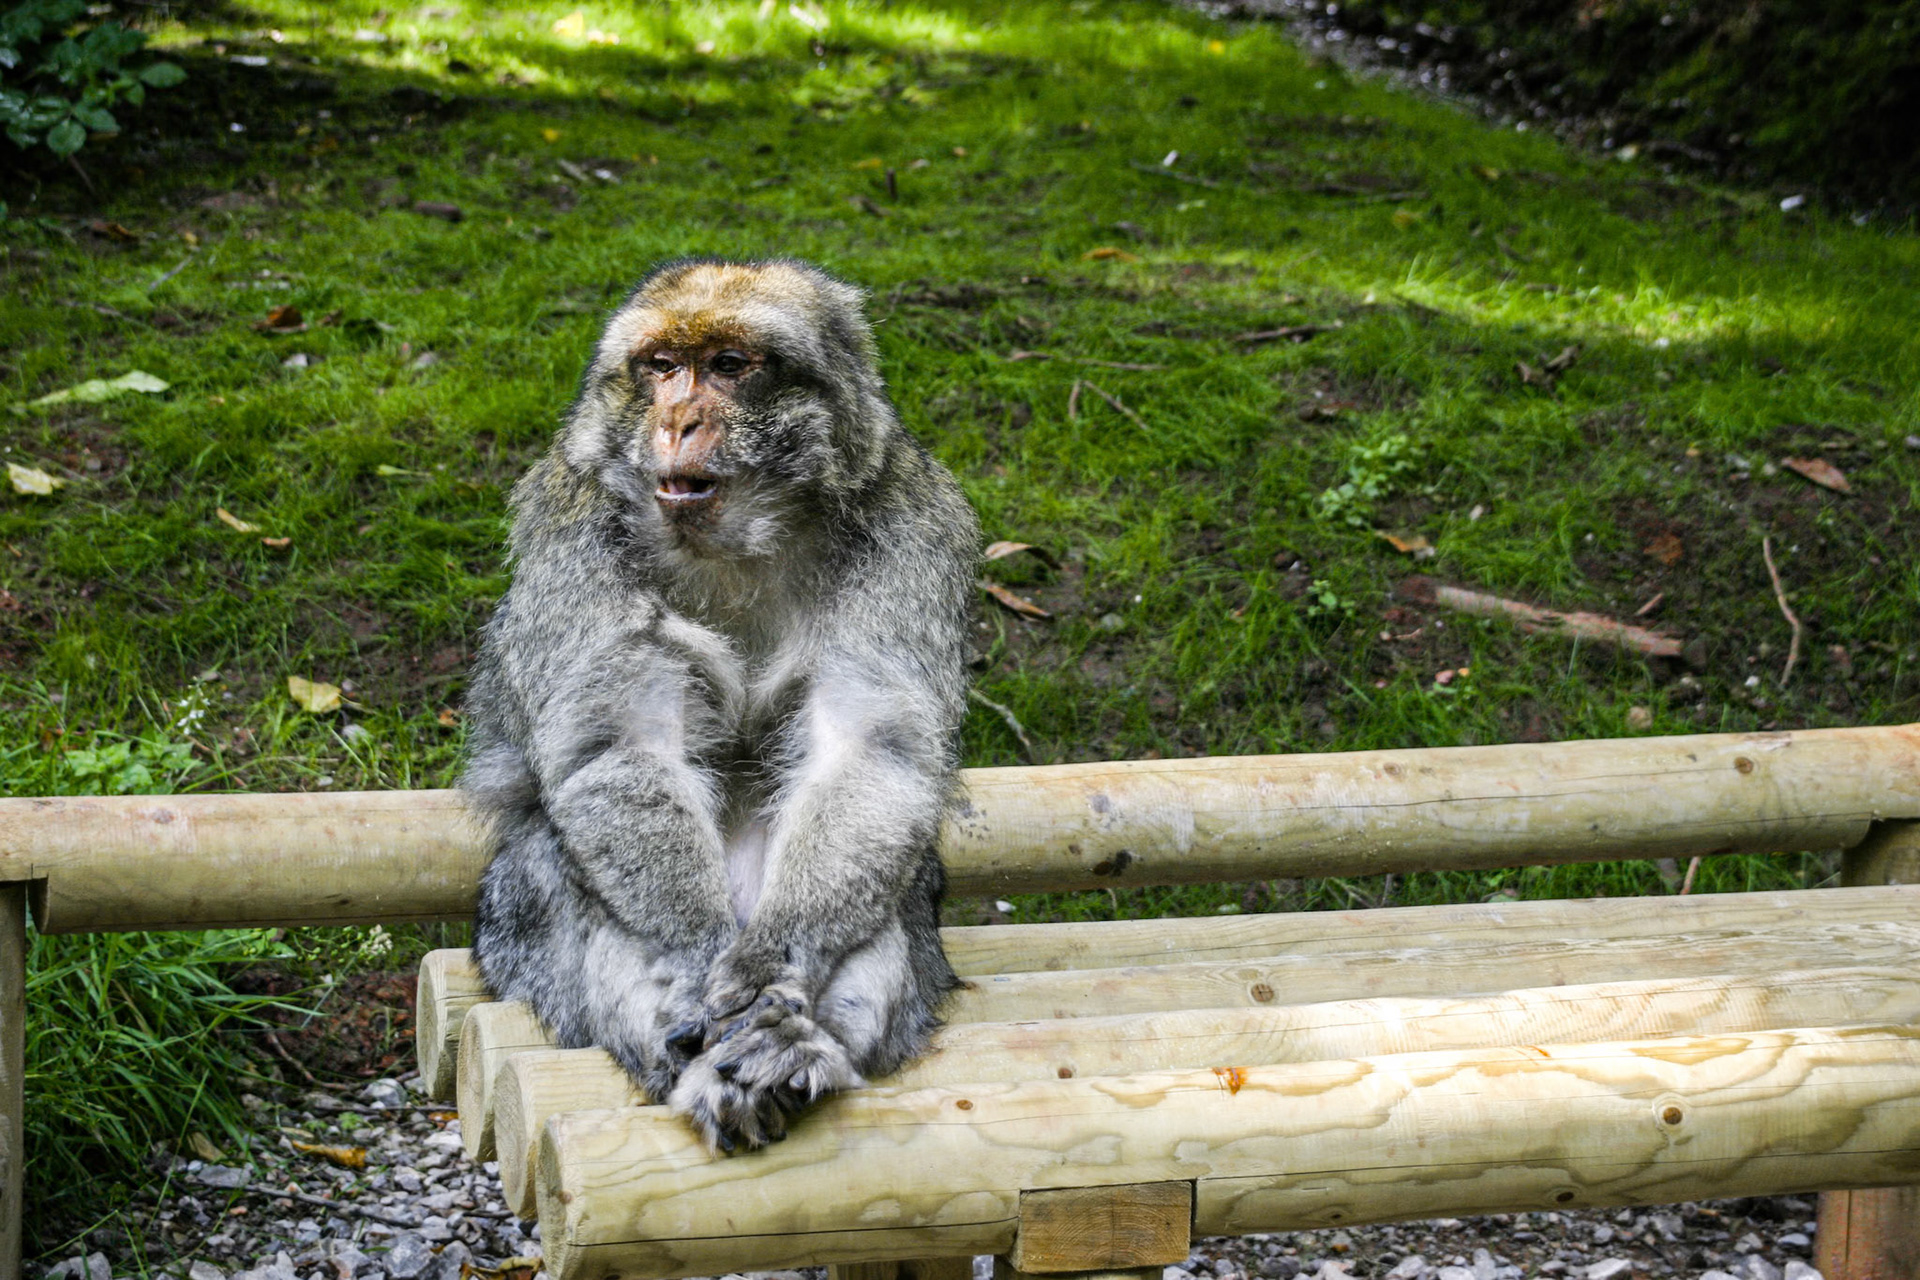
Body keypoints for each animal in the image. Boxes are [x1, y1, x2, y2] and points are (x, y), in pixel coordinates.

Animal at [460, 258, 977, 1153]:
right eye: (663, 367)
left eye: (730, 366)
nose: (679, 421)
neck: (739, 541)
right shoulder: (575, 525)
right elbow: (617, 748)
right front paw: (704, 959)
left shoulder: (906, 524)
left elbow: (870, 751)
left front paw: (774, 970)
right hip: (517, 948)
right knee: (561, 869)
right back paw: (707, 1072)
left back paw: (793, 1049)